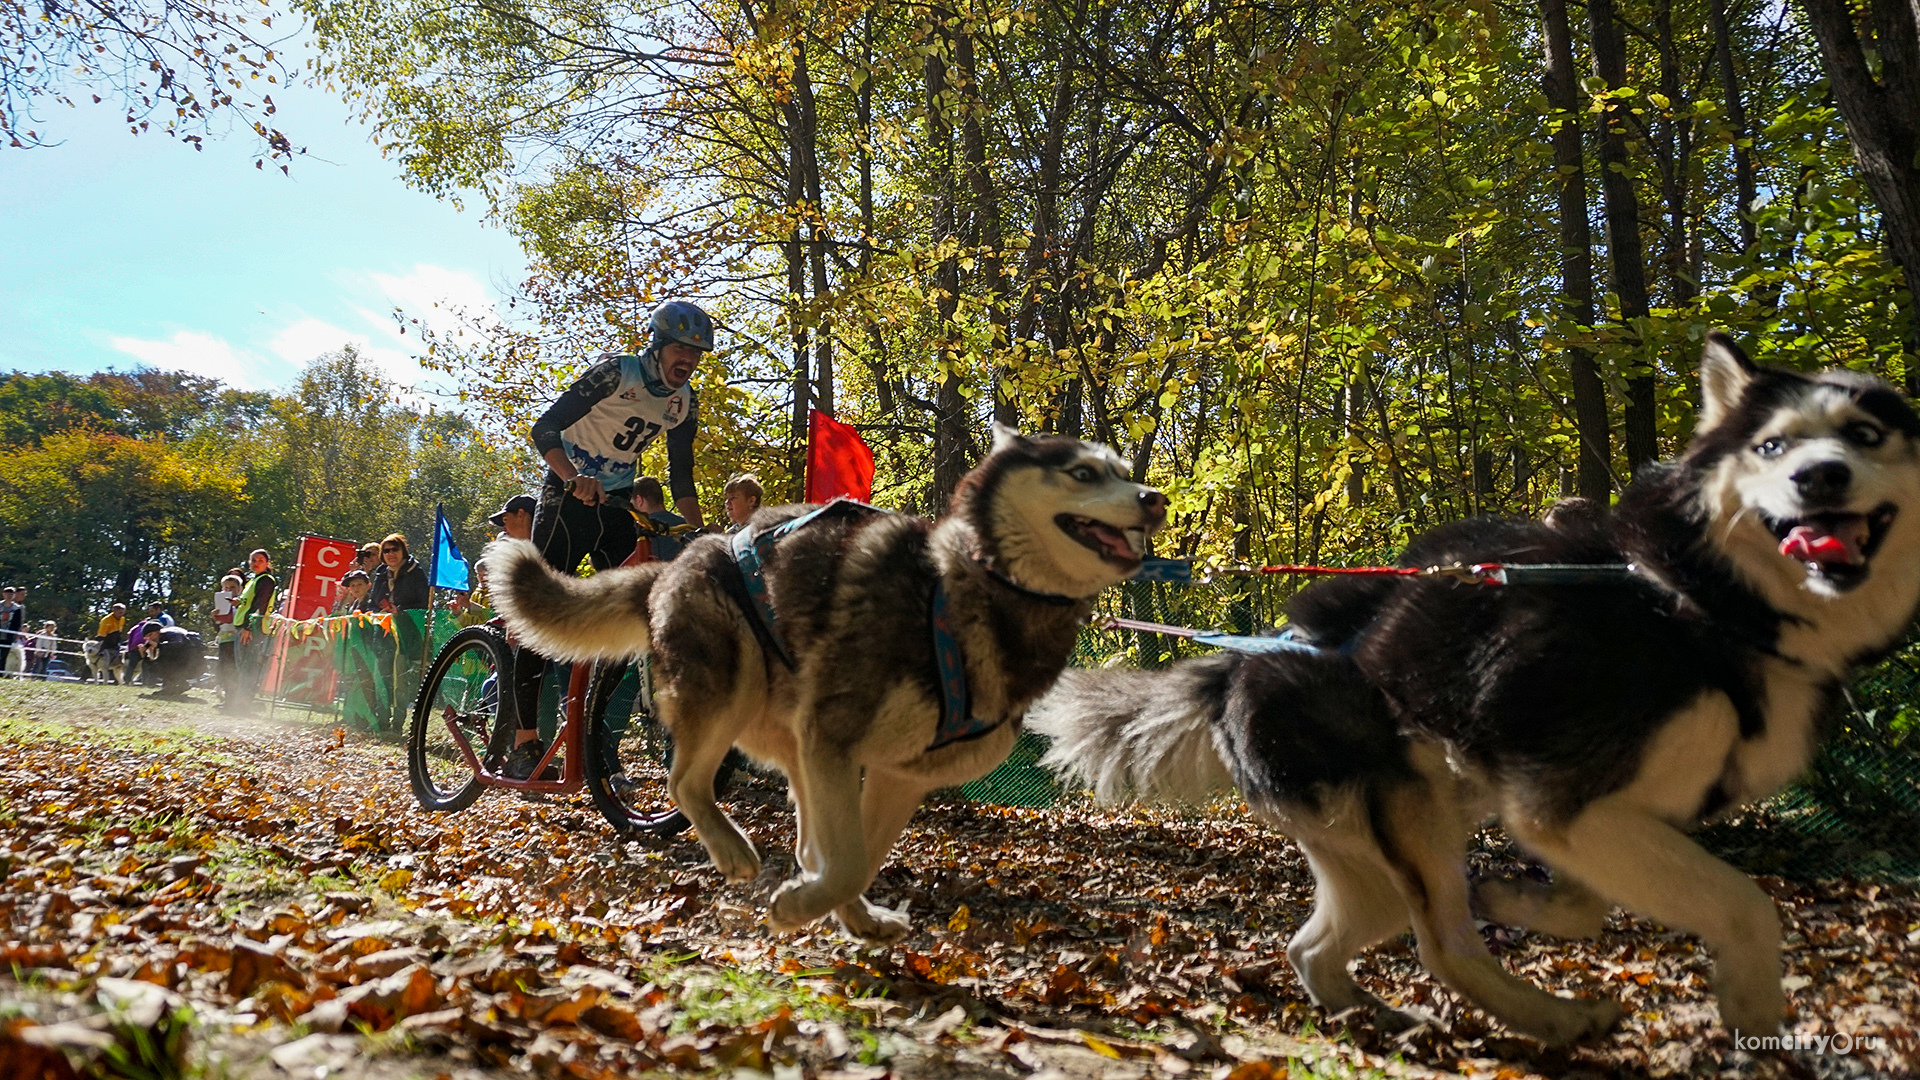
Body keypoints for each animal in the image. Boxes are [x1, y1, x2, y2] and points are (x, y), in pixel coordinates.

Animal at [487, 424, 1159, 937]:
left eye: (1123, 470)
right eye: (1082, 473)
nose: (1154, 499)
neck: (968, 591)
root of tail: (674, 563)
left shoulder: (897, 773)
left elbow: (857, 858)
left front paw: (837, 910)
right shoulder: (835, 738)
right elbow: (848, 860)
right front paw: (798, 907)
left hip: (796, 739)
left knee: (811, 843)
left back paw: (853, 914)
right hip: (736, 694)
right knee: (685, 782)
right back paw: (732, 849)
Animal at [1036, 334, 1920, 1045]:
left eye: (1866, 436)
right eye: (1771, 446)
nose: (1821, 477)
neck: (1687, 598)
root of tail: (1246, 659)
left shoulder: (1603, 818)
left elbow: (1586, 907)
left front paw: (1511, 896)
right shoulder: (1566, 809)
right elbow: (1742, 902)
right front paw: (1753, 1007)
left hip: (1379, 857)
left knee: (1315, 947)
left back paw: (1377, 1014)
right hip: (1414, 822)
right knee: (1444, 947)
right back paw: (1553, 1019)